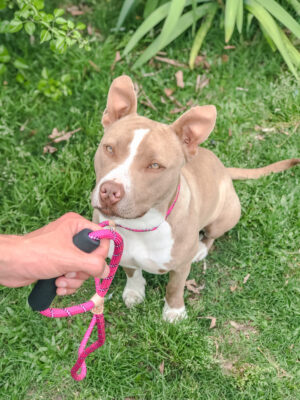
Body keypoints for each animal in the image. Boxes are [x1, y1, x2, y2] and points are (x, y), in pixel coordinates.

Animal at [91, 75, 298, 324]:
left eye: (155, 165)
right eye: (109, 148)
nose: (110, 191)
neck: (140, 226)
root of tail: (225, 170)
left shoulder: (180, 268)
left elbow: (174, 288)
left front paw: (174, 311)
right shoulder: (123, 254)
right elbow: (132, 272)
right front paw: (134, 291)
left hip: (224, 217)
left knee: (211, 236)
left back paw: (200, 249)